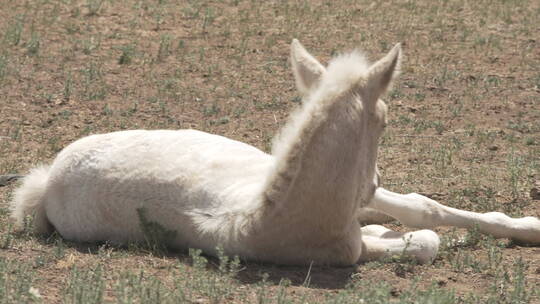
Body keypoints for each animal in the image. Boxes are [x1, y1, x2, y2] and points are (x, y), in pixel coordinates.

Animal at [8, 39, 540, 264]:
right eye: (386, 119)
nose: (373, 182)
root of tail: (46, 181)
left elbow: (421, 211)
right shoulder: (352, 247)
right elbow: (424, 240)